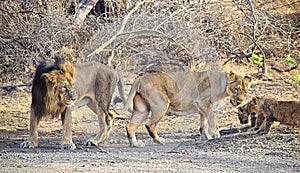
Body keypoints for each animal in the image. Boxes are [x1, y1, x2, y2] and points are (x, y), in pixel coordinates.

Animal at [122, 71, 251, 147]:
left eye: (246, 91)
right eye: (237, 89)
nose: (240, 102)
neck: (223, 87)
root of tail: (140, 78)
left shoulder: (202, 108)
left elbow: (203, 124)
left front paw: (206, 137)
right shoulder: (204, 103)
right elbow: (212, 119)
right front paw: (215, 134)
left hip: (141, 109)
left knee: (130, 126)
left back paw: (135, 144)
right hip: (162, 104)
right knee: (150, 125)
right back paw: (159, 141)